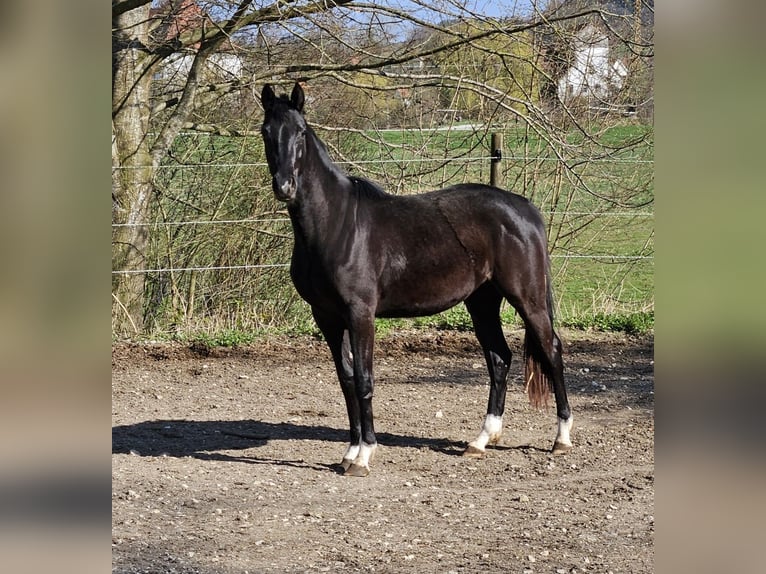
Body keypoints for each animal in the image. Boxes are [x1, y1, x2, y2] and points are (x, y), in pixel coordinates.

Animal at [260, 83, 573, 477]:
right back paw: (480, 441)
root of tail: (525, 208)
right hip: (482, 301)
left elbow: (364, 379)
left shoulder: (360, 315)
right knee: (499, 358)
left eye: (301, 132)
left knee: (552, 350)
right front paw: (349, 452)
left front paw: (364, 456)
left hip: (527, 298)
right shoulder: (327, 318)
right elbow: (346, 381)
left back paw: (561, 439)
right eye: (266, 131)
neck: (338, 225)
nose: (284, 186)